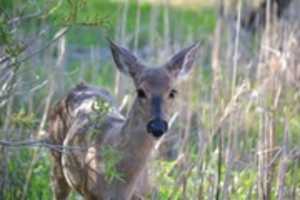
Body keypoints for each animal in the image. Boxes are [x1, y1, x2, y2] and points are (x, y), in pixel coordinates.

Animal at [48, 41, 199, 200]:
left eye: (172, 92)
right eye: (140, 91)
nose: (157, 126)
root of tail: (81, 86)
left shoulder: (144, 194)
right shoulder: (91, 193)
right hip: (56, 158)